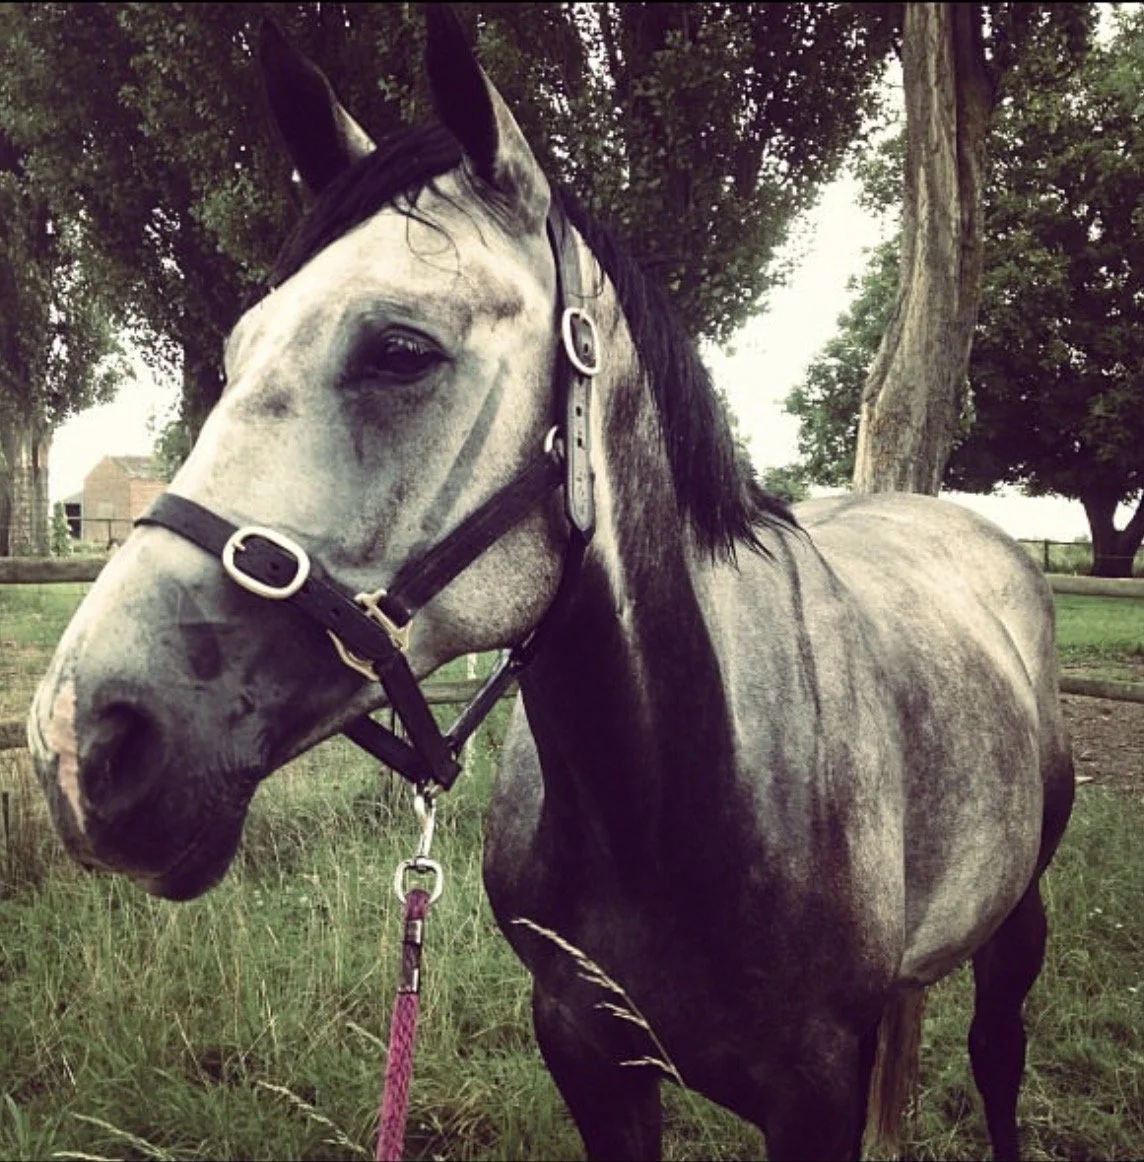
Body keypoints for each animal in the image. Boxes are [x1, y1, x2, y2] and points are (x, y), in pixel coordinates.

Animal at [28, 11, 1074, 1160]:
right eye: (236, 349)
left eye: (401, 349)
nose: (77, 740)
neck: (679, 792)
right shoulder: (585, 1047)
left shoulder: (816, 1092)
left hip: (1019, 919)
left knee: (997, 1054)